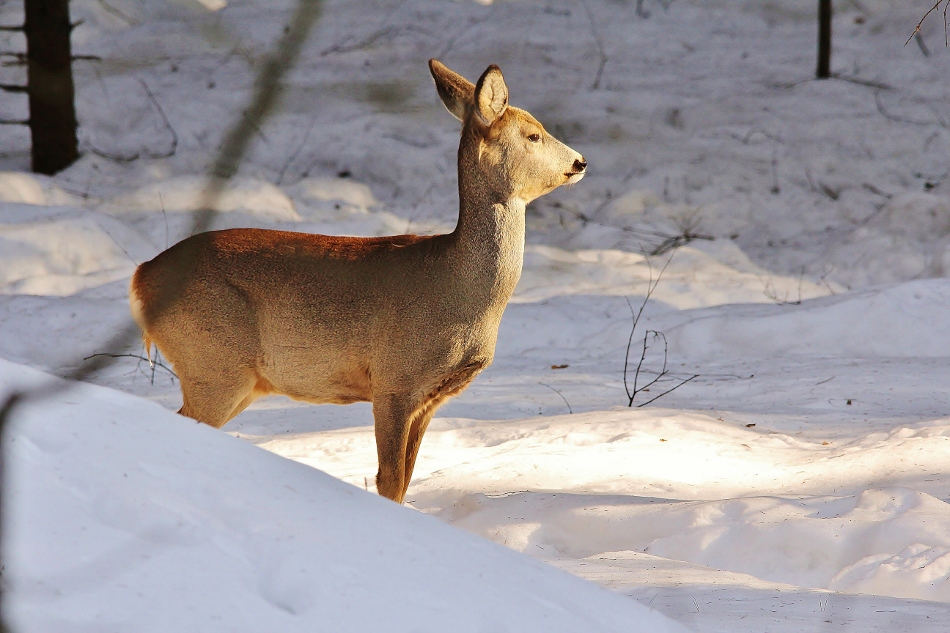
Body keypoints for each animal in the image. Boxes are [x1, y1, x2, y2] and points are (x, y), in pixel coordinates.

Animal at [128, 60, 588, 504]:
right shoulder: (394, 378)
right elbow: (390, 480)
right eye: (533, 134)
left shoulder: (430, 398)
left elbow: (404, 480)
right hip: (213, 362)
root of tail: (141, 277)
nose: (580, 162)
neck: (459, 289)